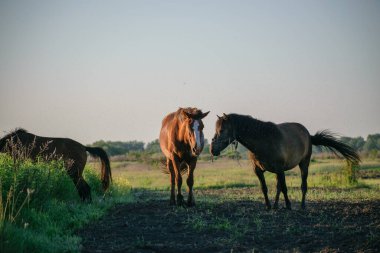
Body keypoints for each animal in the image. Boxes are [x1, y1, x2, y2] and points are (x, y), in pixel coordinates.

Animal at [209, 114, 360, 210]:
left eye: (222, 130)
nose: (212, 149)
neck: (263, 140)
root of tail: (308, 135)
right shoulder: (258, 170)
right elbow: (265, 188)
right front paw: (268, 206)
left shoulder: (280, 169)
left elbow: (285, 188)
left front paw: (288, 205)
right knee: (278, 187)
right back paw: (276, 206)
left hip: (304, 164)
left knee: (303, 185)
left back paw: (302, 206)